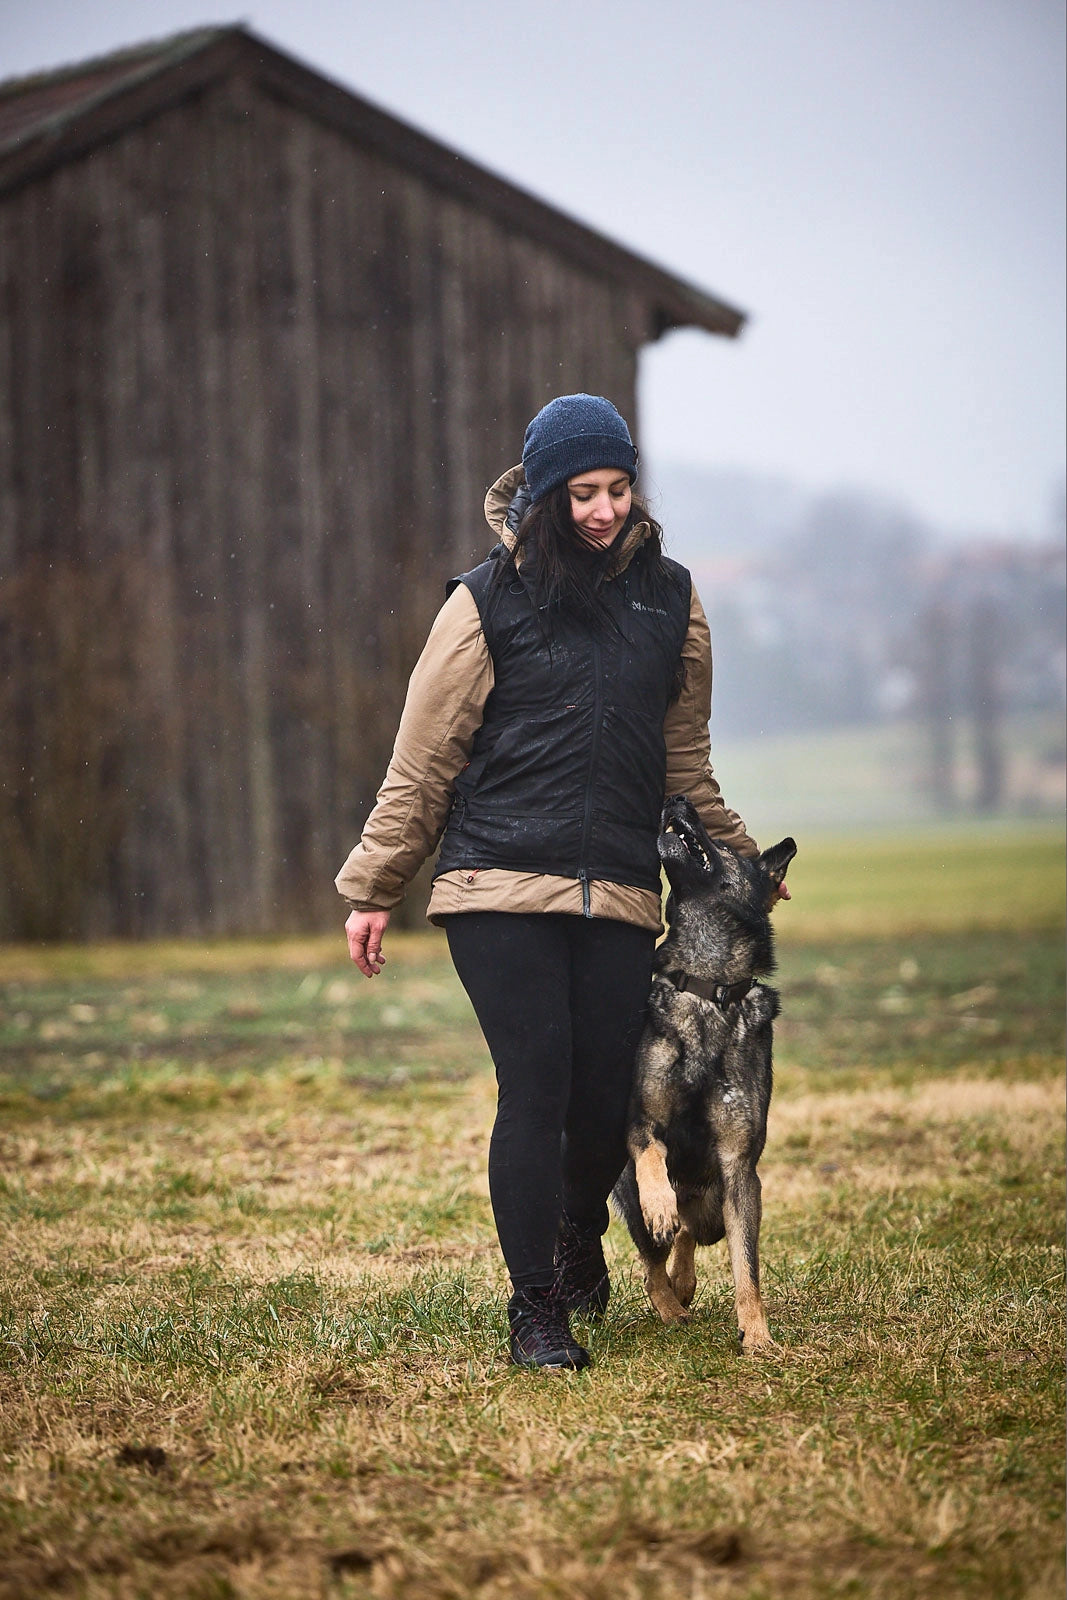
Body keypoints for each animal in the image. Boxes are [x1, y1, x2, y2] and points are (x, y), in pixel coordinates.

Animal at [614, 796, 796, 1350]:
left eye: (727, 844)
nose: (676, 799)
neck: (706, 988)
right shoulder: (641, 1122)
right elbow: (653, 1159)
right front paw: (661, 1204)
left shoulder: (739, 1170)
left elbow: (747, 1266)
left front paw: (756, 1335)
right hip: (625, 1188)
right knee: (653, 1258)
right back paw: (671, 1303)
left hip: (716, 1203)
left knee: (694, 1234)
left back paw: (684, 1281)